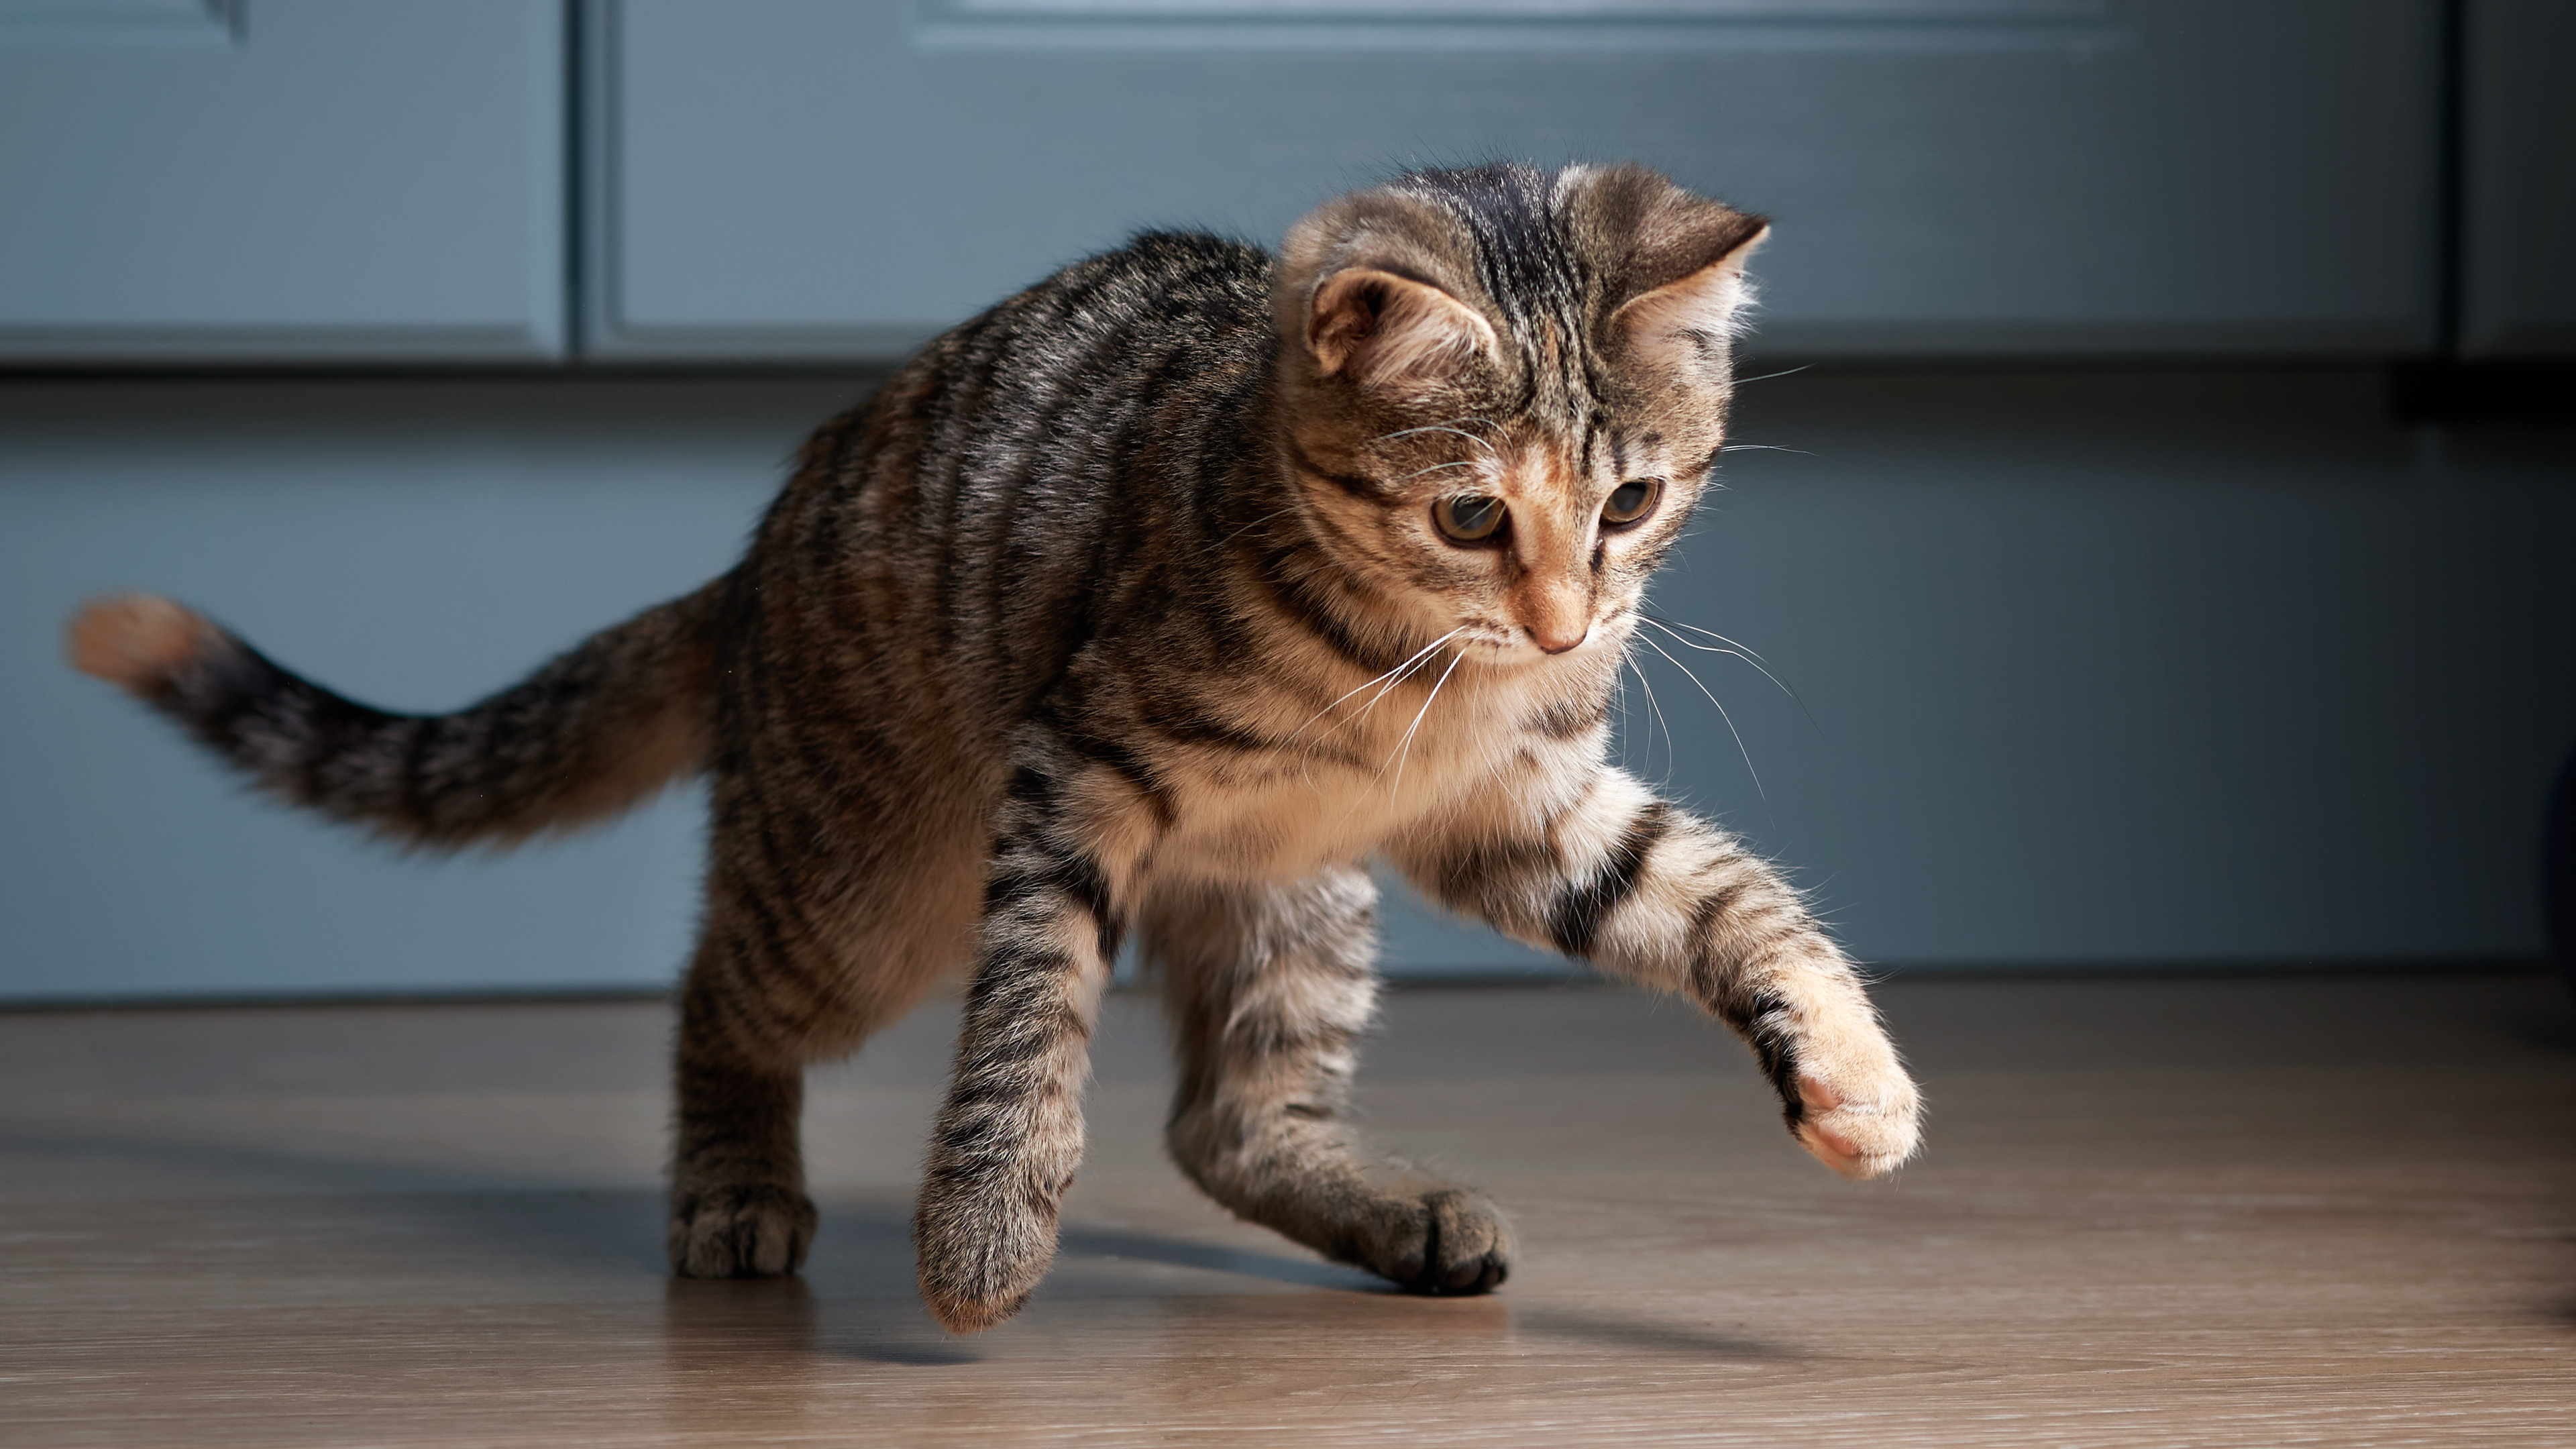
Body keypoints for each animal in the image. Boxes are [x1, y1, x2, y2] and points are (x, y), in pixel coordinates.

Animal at [65, 160, 1916, 1330]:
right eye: (1472, 514)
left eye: (1632, 501)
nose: (1563, 623)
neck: (1416, 671)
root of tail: (751, 569)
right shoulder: (1072, 771)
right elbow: (1032, 1015)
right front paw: (984, 1226)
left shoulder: (1516, 806)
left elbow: (1719, 892)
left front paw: (1850, 1070)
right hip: (856, 892)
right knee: (716, 994)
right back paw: (732, 1184)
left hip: (1296, 900)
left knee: (1228, 1120)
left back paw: (1393, 1211)